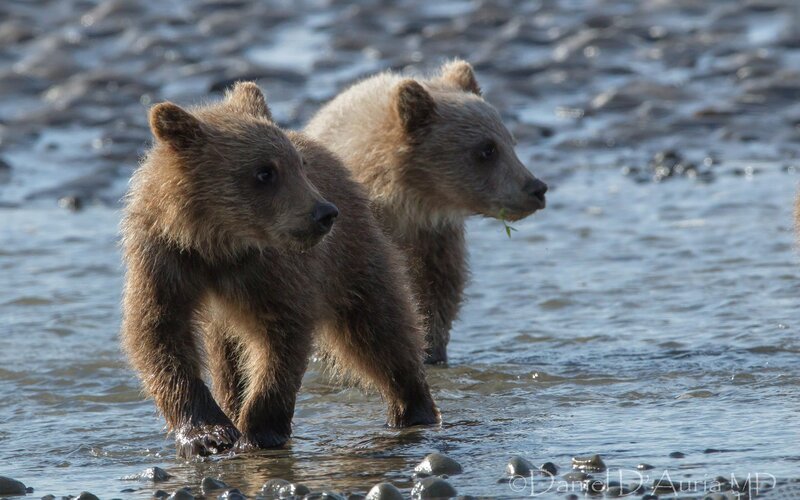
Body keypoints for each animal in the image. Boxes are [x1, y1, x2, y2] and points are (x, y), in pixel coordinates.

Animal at [120, 82, 440, 458]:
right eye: (264, 171)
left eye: (298, 165)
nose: (324, 213)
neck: (217, 244)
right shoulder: (165, 258)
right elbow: (159, 332)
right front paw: (207, 434)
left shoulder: (271, 271)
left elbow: (281, 336)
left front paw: (259, 430)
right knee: (228, 359)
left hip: (352, 256)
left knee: (379, 326)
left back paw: (413, 408)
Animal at [305, 60, 548, 364]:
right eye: (486, 149)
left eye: (510, 142)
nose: (536, 188)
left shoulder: (435, 238)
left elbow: (438, 294)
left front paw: (432, 349)